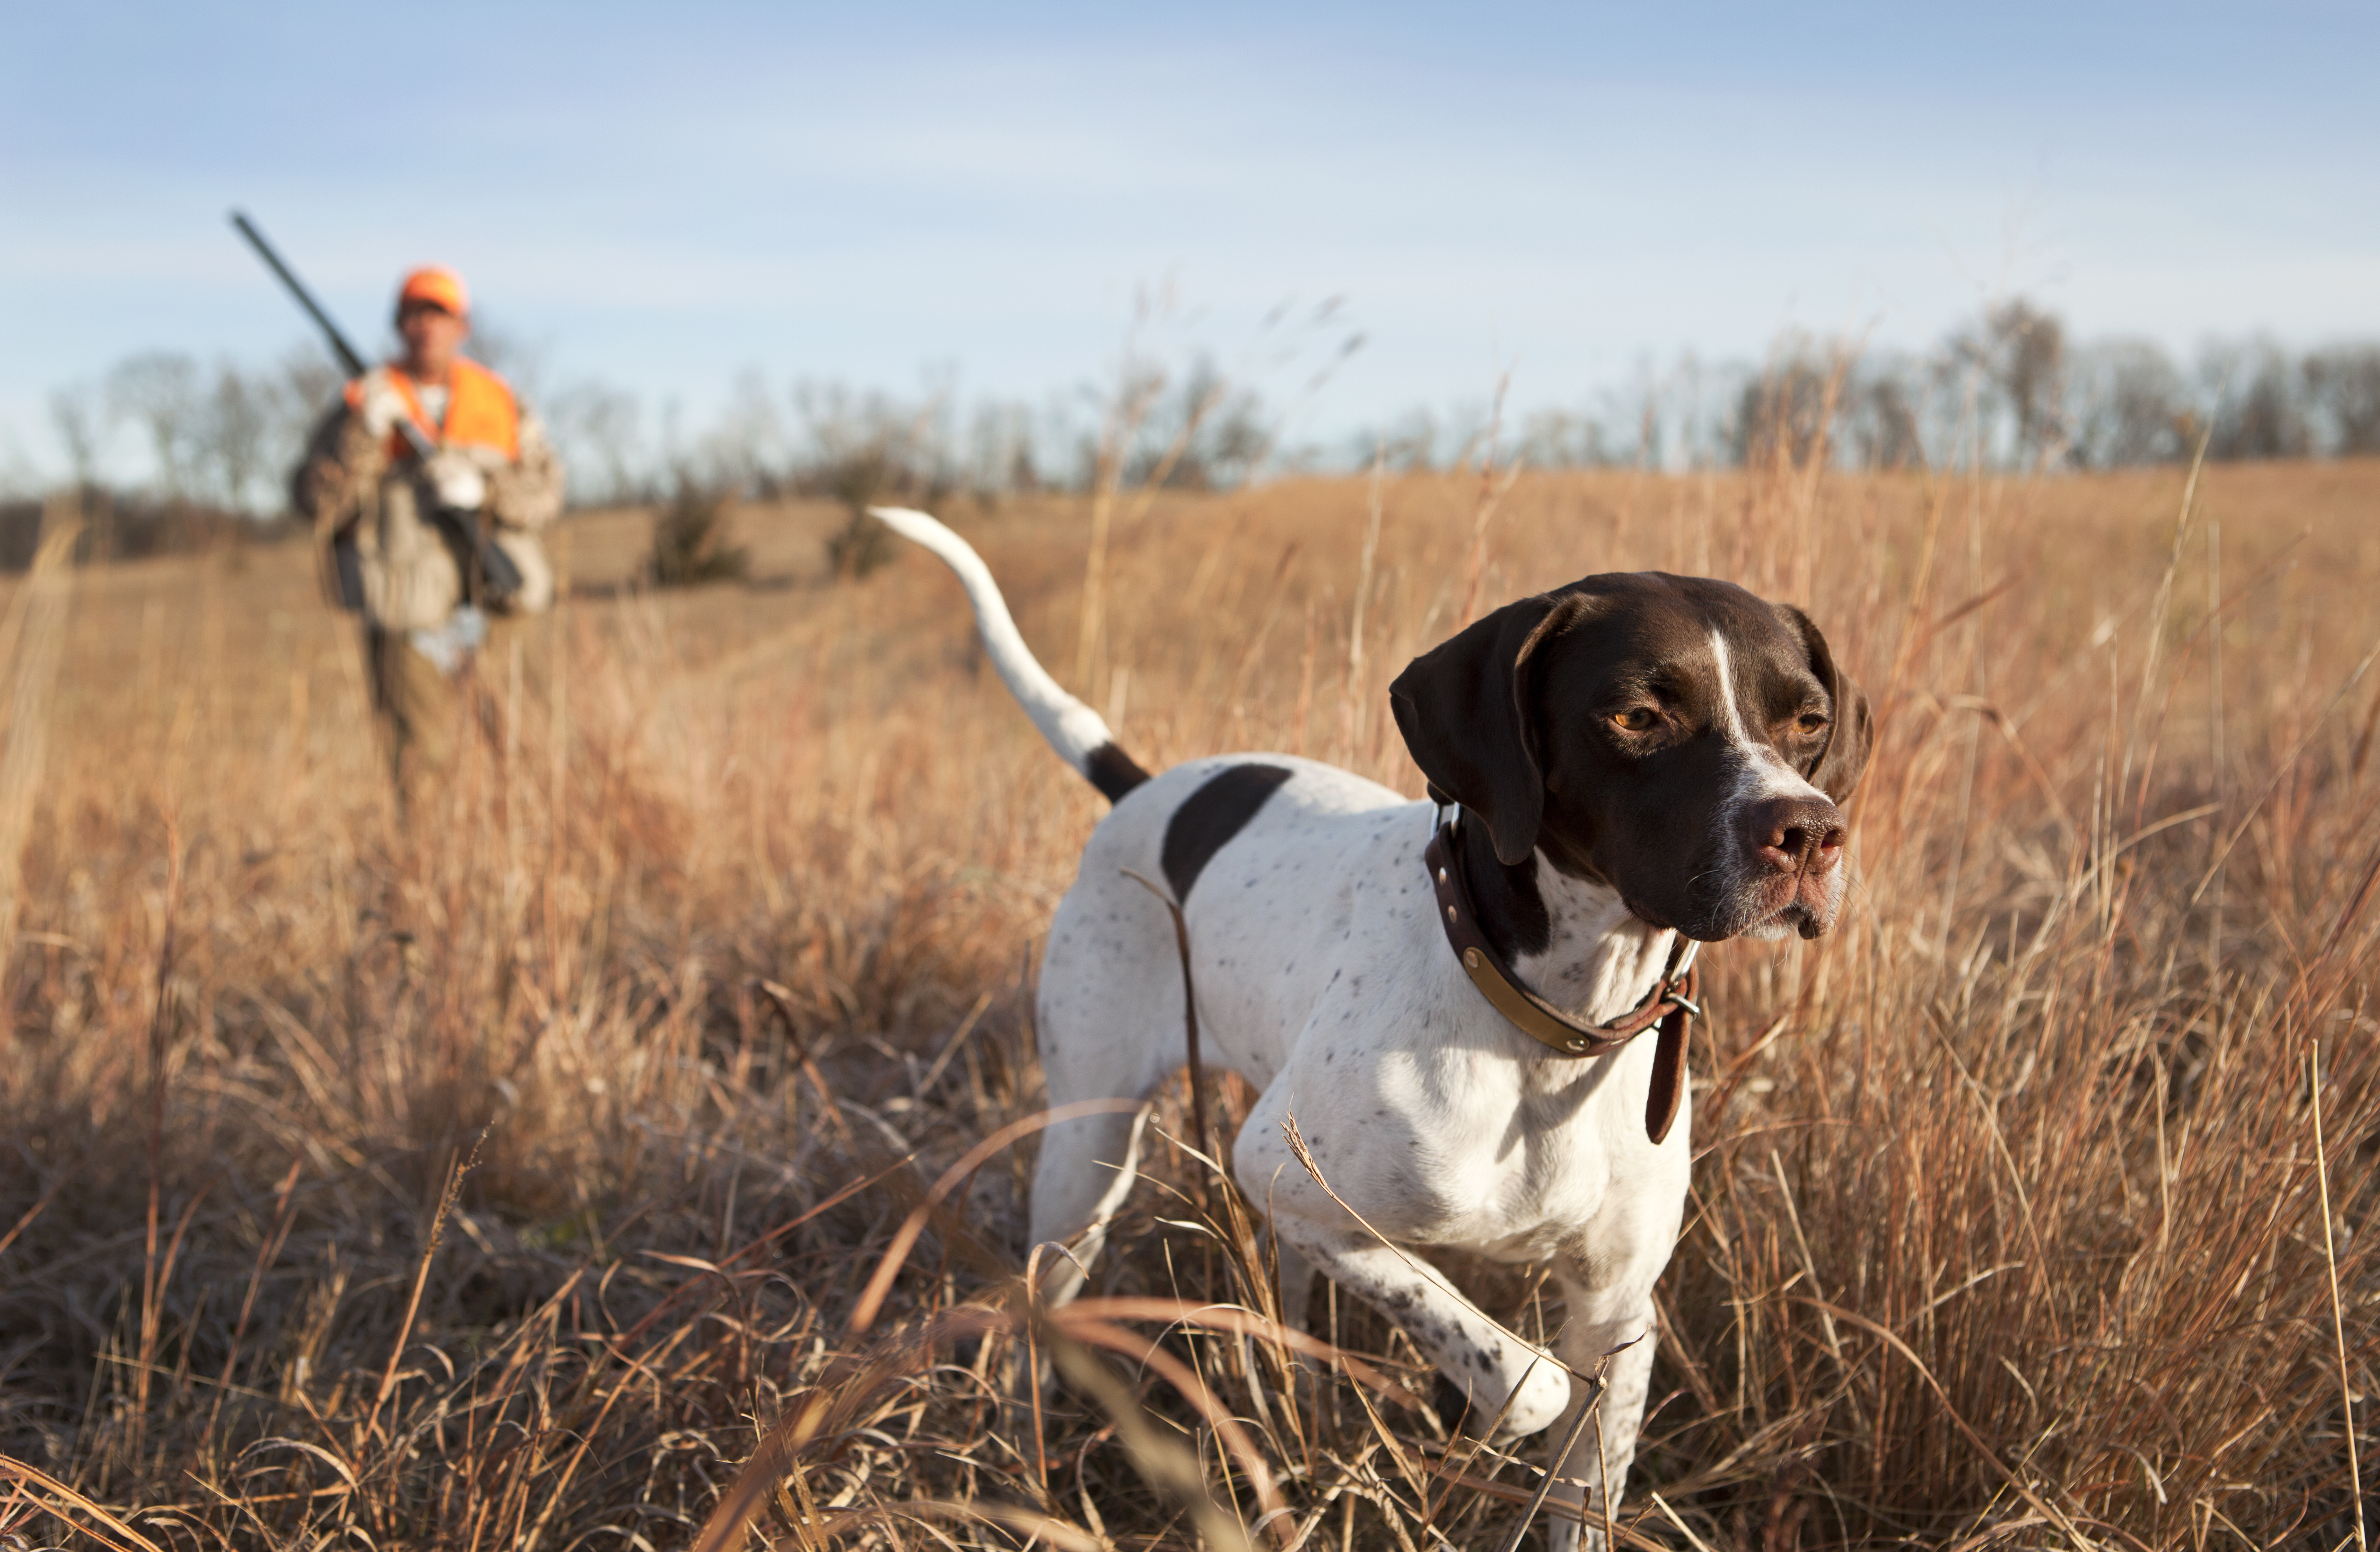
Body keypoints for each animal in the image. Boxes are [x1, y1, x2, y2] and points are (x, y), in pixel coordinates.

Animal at [866, 507, 1866, 1542]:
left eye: (1807, 722)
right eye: (1634, 715)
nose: (1808, 831)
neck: (1545, 1018)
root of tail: (1140, 790)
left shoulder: (1615, 1306)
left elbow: (1578, 1475)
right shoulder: (1281, 1171)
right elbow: (1522, 1378)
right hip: (1087, 1159)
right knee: (1041, 1308)